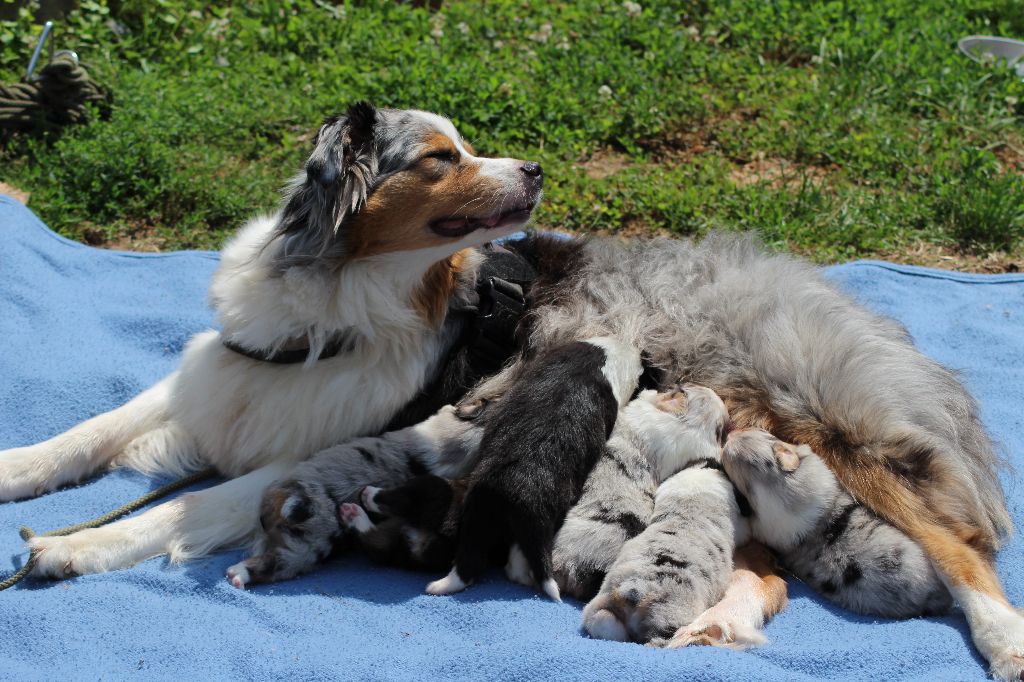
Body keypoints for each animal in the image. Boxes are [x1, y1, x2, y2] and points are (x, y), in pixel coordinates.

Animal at [423, 337, 638, 598]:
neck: (595, 357)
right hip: (537, 525)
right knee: (521, 563)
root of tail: (503, 491)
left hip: (476, 515)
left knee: (469, 560)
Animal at [581, 458, 749, 647]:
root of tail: (636, 589)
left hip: (600, 607)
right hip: (669, 621)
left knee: (604, 622)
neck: (690, 503)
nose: (709, 459)